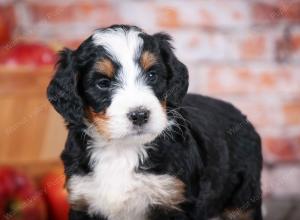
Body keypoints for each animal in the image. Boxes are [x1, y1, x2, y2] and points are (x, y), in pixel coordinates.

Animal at [47, 24, 262, 220]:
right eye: (103, 83)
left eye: (152, 75)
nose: (139, 115)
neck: (122, 150)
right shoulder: (83, 198)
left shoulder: (173, 200)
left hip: (244, 200)